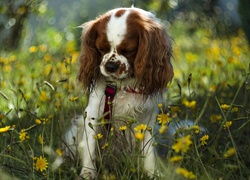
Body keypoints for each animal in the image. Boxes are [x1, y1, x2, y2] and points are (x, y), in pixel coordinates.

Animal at [66, 7, 174, 179]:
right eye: (101, 49)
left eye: (128, 50)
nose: (110, 66)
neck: (123, 85)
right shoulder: (93, 115)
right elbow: (90, 148)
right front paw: (88, 173)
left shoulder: (146, 119)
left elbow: (148, 151)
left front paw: (152, 173)